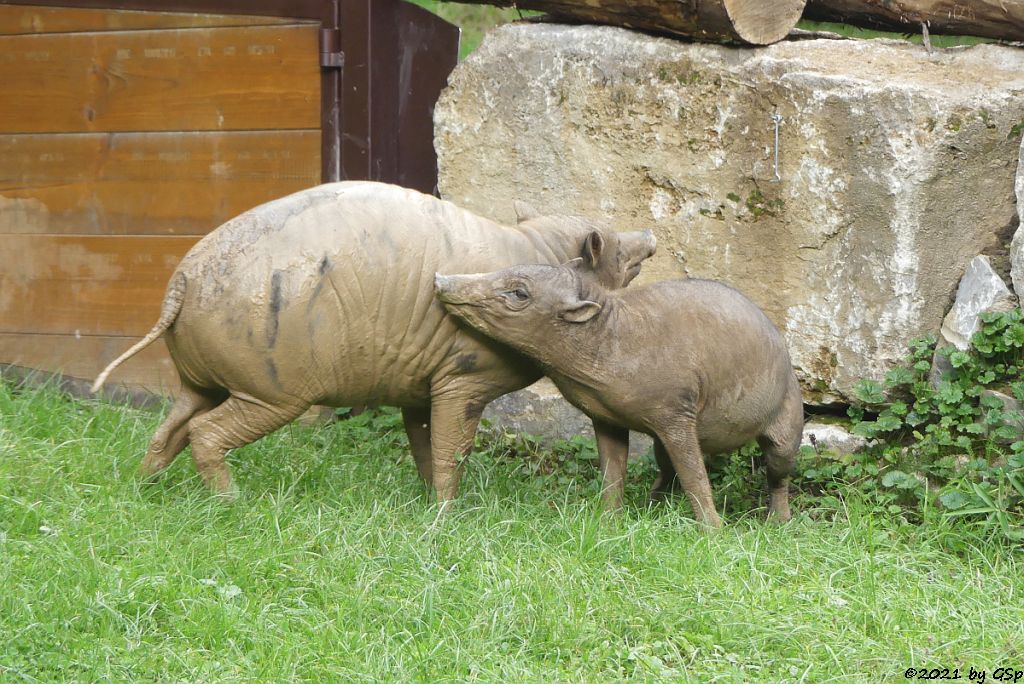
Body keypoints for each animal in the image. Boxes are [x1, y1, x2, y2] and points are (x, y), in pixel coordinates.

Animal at [96, 181, 655, 501]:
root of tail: (182, 282)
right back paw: (231, 504)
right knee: (205, 434)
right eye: (612, 247)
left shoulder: (418, 388)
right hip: (270, 392)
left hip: (201, 381)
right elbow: (453, 450)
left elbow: (424, 446)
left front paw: (428, 502)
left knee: (167, 431)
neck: (538, 251)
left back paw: (143, 490)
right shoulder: (463, 381)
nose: (649, 236)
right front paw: (451, 514)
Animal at [432, 264, 798, 528]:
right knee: (667, 468)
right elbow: (612, 473)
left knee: (777, 474)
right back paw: (653, 507)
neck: (607, 335)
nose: (440, 279)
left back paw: (777, 521)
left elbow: (696, 477)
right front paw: (609, 520)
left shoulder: (675, 415)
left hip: (786, 426)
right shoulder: (606, 419)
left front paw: (712, 530)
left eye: (519, 292)